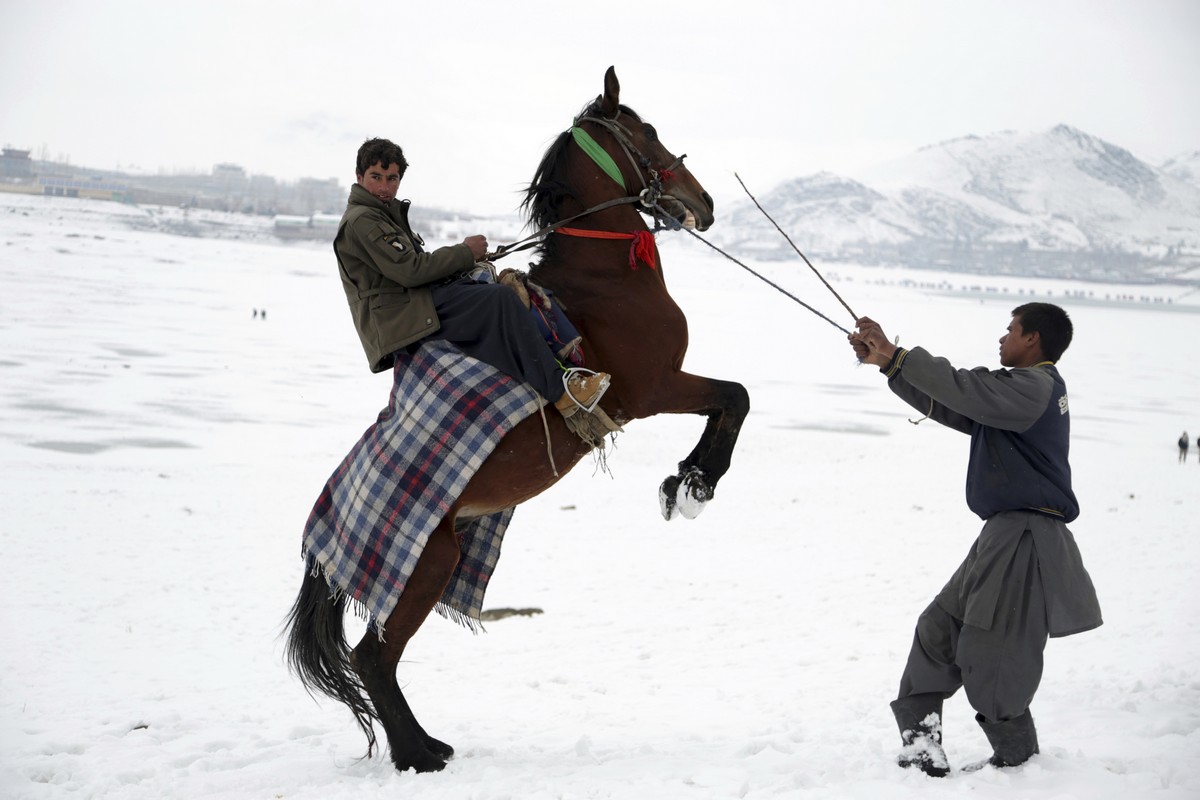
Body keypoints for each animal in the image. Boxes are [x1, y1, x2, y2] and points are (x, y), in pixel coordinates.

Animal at [284, 67, 744, 777]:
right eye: (647, 131)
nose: (703, 201)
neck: (602, 283)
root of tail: (324, 531)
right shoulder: (653, 388)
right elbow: (735, 397)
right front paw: (694, 483)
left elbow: (731, 400)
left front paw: (687, 480)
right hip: (425, 568)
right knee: (373, 659)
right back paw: (418, 754)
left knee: (376, 660)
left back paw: (424, 746)